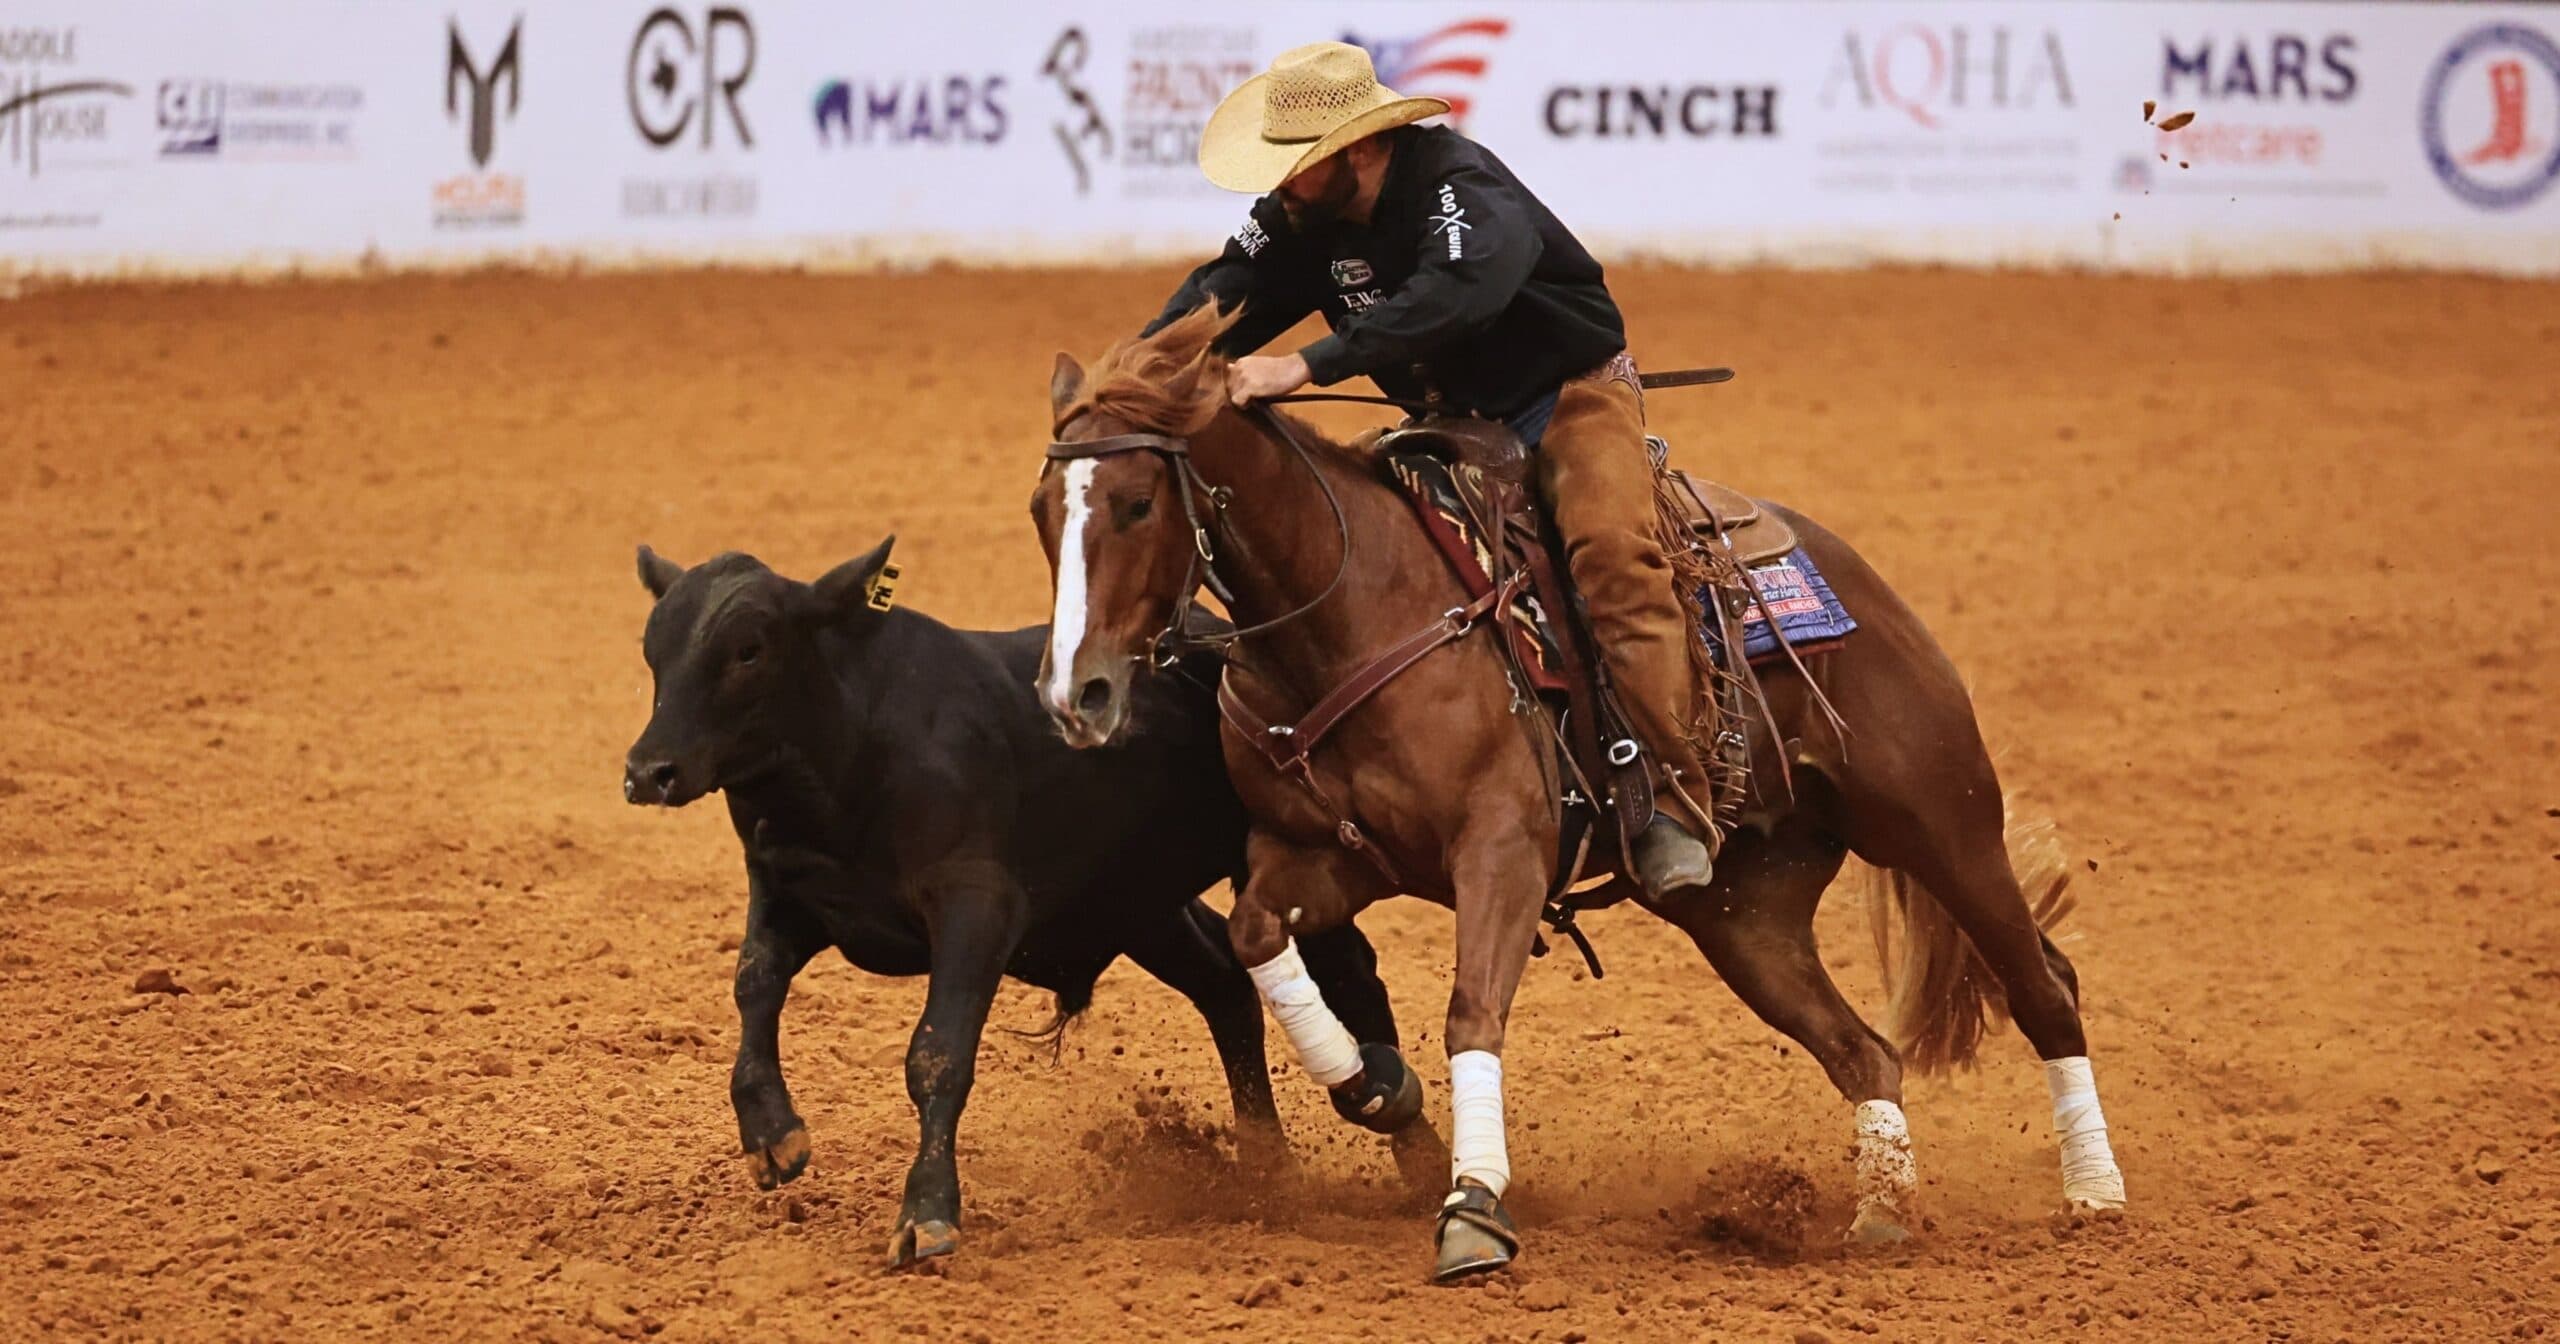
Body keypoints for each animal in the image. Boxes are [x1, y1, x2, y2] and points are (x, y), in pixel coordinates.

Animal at [1027, 307, 2126, 1282]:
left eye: (1135, 503)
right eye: (1043, 513)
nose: (1075, 695)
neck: (1352, 610)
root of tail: (1846, 574)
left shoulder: (1502, 853)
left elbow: (1472, 1012)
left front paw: (1473, 1208)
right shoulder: (1322, 856)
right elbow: (1259, 941)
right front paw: (1376, 1089)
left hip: (1940, 819)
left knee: (2043, 986)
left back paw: (2093, 1195)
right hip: (1746, 913)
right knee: (1863, 1052)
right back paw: (1882, 1212)